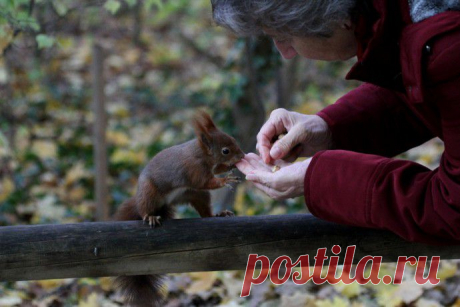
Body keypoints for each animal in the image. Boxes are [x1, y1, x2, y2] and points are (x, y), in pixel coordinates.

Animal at [113, 111, 246, 307]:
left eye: (233, 139)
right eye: (225, 150)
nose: (243, 155)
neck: (200, 154)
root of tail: (166, 202)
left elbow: (216, 170)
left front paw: (231, 167)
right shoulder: (194, 170)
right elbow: (206, 181)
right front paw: (225, 180)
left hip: (195, 194)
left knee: (205, 213)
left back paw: (218, 214)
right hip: (149, 193)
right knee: (145, 208)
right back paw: (150, 217)